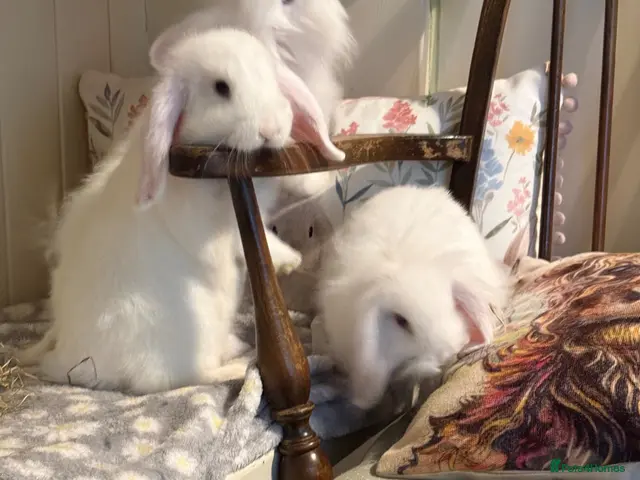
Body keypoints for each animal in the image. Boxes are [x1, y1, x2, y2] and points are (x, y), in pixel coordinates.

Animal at [15, 27, 345, 395]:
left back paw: (235, 346)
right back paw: (237, 366)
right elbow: (241, 237)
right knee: (178, 378)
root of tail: (76, 365)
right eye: (221, 88)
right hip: (188, 329)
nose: (270, 129)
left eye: (273, 80)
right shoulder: (218, 221)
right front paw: (287, 260)